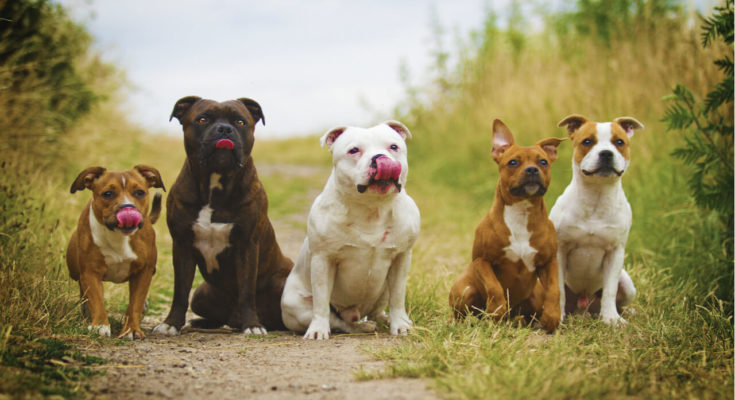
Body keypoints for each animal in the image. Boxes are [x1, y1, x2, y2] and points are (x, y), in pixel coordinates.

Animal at [66, 164, 165, 340]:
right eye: (108, 194)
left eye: (140, 192)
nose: (128, 208)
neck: (119, 236)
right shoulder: (90, 272)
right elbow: (96, 300)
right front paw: (100, 326)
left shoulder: (143, 272)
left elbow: (135, 303)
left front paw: (131, 329)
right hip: (75, 269)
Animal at [152, 97, 294, 338]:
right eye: (202, 119)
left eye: (240, 121)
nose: (224, 129)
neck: (215, 184)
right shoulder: (182, 245)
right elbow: (180, 291)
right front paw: (171, 323)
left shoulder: (247, 245)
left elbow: (246, 291)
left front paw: (252, 325)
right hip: (201, 295)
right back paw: (201, 322)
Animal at [280, 120, 420, 340]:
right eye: (354, 150)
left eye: (393, 147)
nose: (380, 158)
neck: (371, 208)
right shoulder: (323, 259)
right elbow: (321, 302)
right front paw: (318, 330)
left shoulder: (401, 257)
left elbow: (398, 297)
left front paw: (400, 324)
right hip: (295, 305)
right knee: (340, 322)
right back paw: (362, 327)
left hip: (383, 290)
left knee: (378, 309)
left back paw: (386, 319)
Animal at [448, 120, 564, 332]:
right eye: (513, 162)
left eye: (543, 162)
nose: (532, 169)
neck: (520, 213)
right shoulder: (482, 260)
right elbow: (494, 287)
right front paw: (497, 310)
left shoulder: (549, 262)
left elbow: (554, 290)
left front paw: (552, 317)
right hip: (465, 290)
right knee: (462, 313)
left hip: (535, 296)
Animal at [548, 115, 648, 324]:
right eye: (587, 141)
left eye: (619, 142)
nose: (606, 153)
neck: (597, 196)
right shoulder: (560, 251)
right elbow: (559, 290)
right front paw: (557, 317)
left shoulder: (615, 253)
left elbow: (610, 290)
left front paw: (611, 320)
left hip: (628, 286)